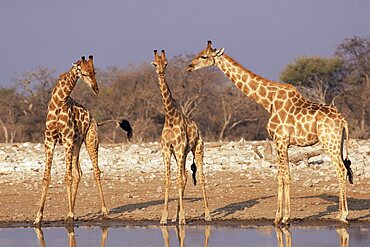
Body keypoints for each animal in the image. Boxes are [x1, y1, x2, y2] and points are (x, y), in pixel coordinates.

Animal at [32, 56, 132, 226]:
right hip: (77, 144)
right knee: (78, 173)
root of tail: (94, 120)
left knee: (96, 171)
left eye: (94, 72)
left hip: (90, 140)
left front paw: (70, 215)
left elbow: (67, 177)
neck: (59, 102)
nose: (96, 89)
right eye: (84, 73)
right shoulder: (49, 140)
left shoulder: (66, 139)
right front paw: (39, 217)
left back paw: (104, 212)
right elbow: (47, 177)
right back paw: (72, 212)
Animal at [152, 49, 212, 225]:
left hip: (197, 149)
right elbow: (167, 179)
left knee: (201, 176)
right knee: (185, 177)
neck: (170, 118)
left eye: (166, 63)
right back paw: (176, 216)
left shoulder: (178, 149)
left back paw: (207, 214)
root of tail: (198, 128)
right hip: (183, 154)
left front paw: (183, 218)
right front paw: (164, 217)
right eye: (154, 64)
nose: (161, 71)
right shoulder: (167, 149)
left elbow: (178, 179)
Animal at [188, 40, 352, 224]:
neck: (269, 102)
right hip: (338, 143)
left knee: (341, 169)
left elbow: (285, 176)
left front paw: (285, 217)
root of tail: (343, 121)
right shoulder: (281, 142)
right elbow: (280, 176)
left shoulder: (280, 140)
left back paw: (343, 215)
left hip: (329, 142)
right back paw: (340, 213)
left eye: (204, 56)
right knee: (342, 169)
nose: (189, 67)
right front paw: (278, 216)